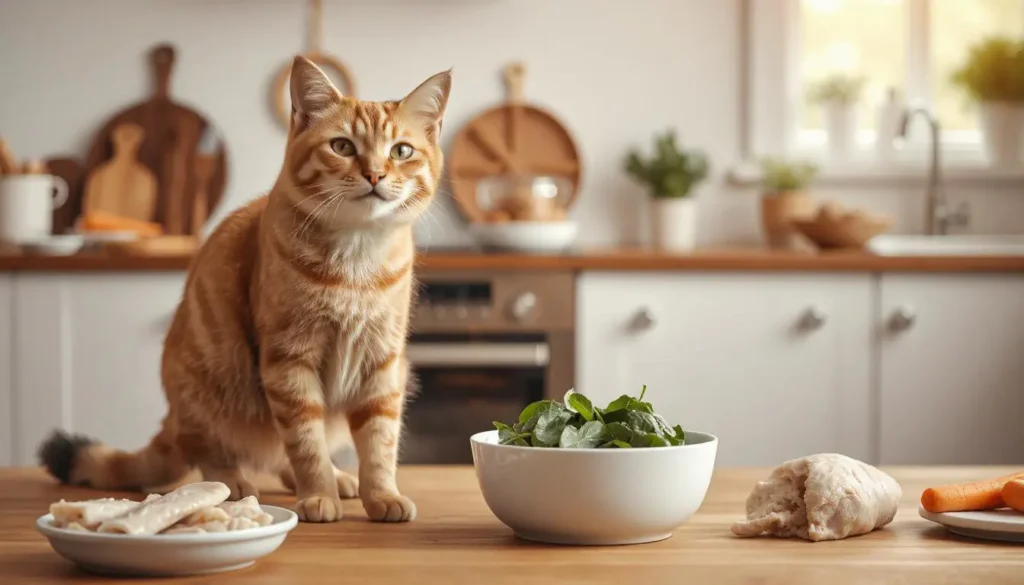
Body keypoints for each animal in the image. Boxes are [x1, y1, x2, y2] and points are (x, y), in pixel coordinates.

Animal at [38, 57, 452, 524]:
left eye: (401, 151)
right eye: (343, 146)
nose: (375, 174)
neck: (356, 260)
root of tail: (172, 418)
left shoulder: (382, 363)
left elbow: (379, 444)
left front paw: (381, 495)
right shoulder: (289, 361)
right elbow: (305, 443)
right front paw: (318, 494)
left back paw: (338, 478)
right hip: (206, 392)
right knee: (212, 451)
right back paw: (234, 482)